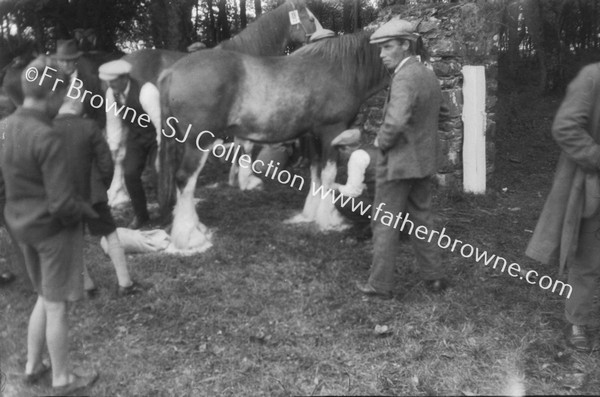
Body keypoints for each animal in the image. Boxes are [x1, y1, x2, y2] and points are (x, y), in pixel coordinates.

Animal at [157, 30, 386, 251]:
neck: (340, 70)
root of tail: (171, 72)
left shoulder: (312, 135)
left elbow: (315, 172)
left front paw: (311, 214)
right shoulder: (332, 132)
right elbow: (328, 175)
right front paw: (329, 218)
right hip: (199, 143)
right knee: (184, 179)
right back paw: (189, 237)